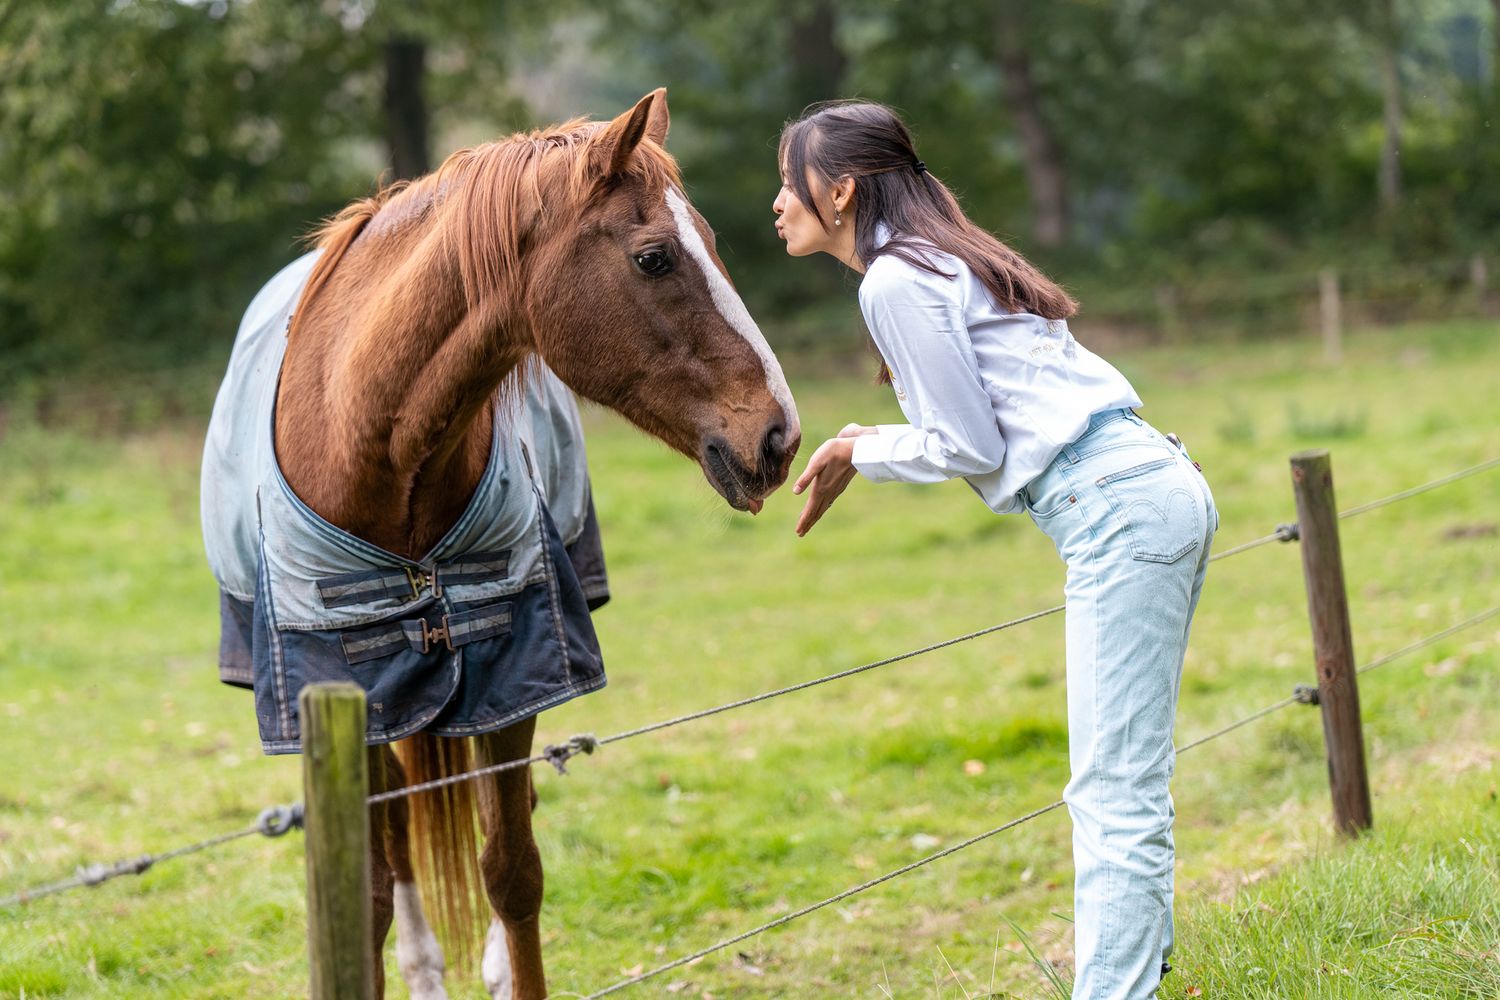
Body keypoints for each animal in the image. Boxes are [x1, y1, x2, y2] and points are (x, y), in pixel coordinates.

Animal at [200, 88, 800, 998]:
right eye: (655, 257)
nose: (779, 435)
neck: (367, 440)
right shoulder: (344, 697)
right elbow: (368, 889)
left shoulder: (516, 667)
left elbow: (512, 868)